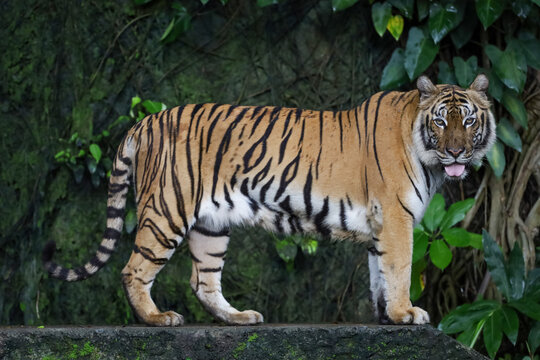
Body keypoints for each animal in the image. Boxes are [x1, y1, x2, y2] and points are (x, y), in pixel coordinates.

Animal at [44, 74, 496, 326]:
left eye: (469, 119)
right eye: (441, 121)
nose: (456, 152)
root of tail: (147, 119)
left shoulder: (380, 224)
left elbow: (379, 274)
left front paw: (387, 316)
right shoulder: (396, 217)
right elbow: (399, 268)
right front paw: (406, 314)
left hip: (211, 225)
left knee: (202, 280)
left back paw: (239, 318)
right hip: (167, 210)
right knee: (133, 270)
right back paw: (158, 319)